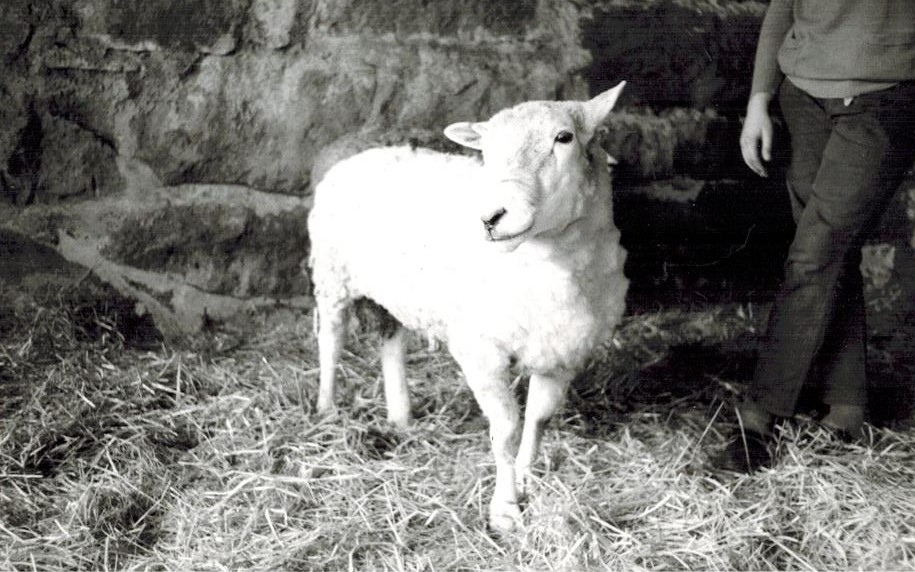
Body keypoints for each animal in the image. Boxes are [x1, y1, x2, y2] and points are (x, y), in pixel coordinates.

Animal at [308, 81, 628, 532]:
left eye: (564, 137)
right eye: (486, 152)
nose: (491, 217)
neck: (550, 265)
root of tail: (360, 148)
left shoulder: (562, 352)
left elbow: (538, 419)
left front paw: (527, 477)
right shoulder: (482, 351)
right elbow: (507, 428)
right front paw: (505, 508)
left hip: (395, 288)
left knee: (391, 341)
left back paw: (400, 415)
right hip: (332, 272)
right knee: (332, 339)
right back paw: (327, 407)